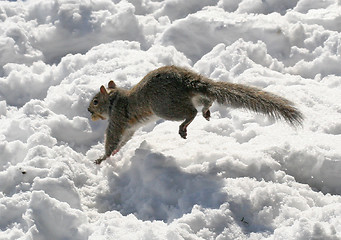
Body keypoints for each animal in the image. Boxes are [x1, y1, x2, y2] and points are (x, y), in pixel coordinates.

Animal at [88, 64, 302, 164]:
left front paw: (102, 158)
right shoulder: (130, 127)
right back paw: (206, 110)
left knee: (191, 112)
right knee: (207, 100)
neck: (115, 100)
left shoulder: (117, 118)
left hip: (164, 107)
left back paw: (184, 127)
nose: (89, 111)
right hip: (190, 98)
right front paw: (114, 153)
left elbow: (113, 138)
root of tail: (187, 81)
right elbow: (124, 140)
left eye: (95, 101)